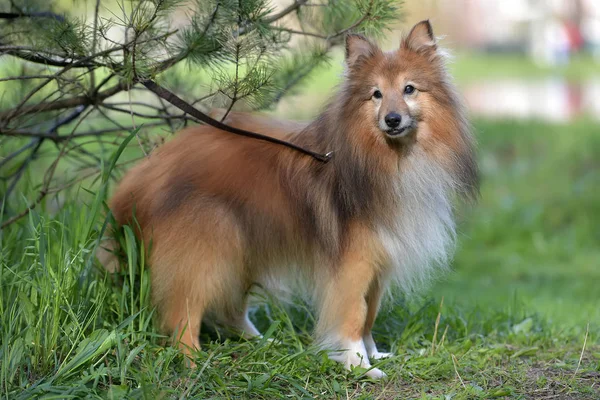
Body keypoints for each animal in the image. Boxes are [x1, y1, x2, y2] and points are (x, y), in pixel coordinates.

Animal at [102, 21, 478, 378]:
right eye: (376, 94)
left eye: (409, 89)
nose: (392, 119)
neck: (387, 158)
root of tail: (144, 173)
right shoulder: (354, 263)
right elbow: (355, 315)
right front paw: (359, 365)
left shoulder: (379, 260)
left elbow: (370, 312)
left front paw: (373, 353)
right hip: (205, 248)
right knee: (183, 313)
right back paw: (194, 361)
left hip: (243, 244)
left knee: (230, 307)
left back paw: (259, 342)